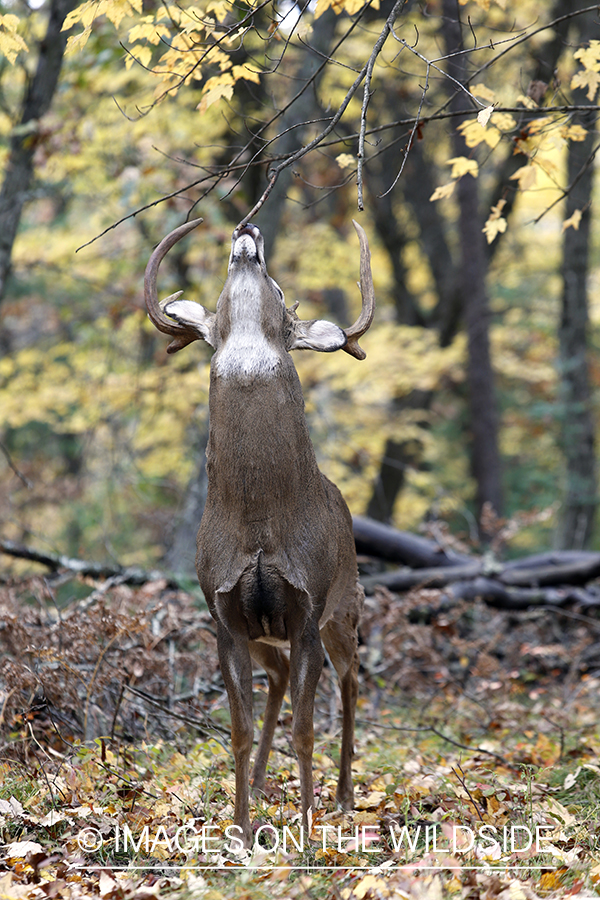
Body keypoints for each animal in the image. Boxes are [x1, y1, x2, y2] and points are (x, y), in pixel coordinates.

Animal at [143, 216, 372, 844]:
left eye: (276, 282)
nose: (247, 228)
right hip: (265, 636)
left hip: (345, 605)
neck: (261, 524)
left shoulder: (307, 610)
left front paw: (309, 835)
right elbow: (239, 729)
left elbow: (306, 729)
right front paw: (242, 831)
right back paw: (268, 785)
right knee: (280, 679)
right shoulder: (224, 617)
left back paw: (343, 797)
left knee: (351, 681)